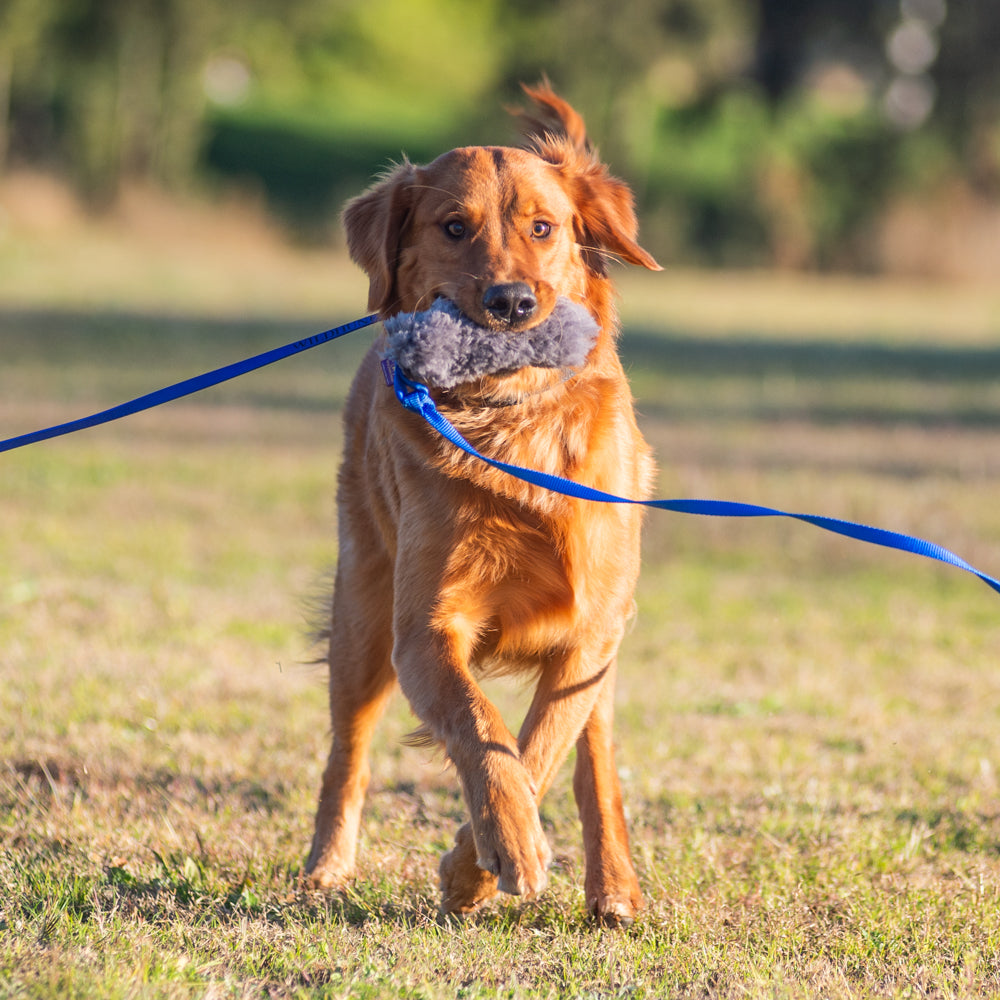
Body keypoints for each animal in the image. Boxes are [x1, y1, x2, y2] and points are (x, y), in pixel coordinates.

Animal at [304, 86, 664, 928]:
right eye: (453, 227)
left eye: (543, 227)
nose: (511, 301)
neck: (511, 430)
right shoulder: (422, 630)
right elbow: (481, 729)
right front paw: (501, 851)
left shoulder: (592, 628)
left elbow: (540, 745)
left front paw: (476, 868)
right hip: (364, 618)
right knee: (347, 753)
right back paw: (324, 868)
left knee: (592, 755)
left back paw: (614, 888)